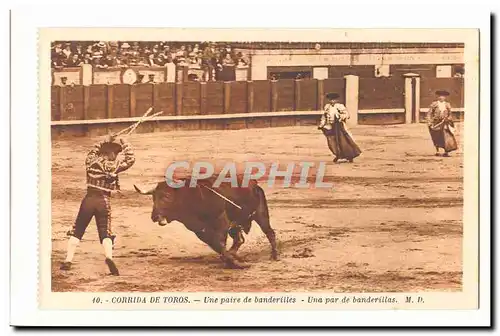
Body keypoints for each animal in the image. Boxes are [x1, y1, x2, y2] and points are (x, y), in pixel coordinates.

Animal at [135, 176, 280, 268]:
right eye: (153, 197)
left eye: (167, 196)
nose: (154, 216)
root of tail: (254, 184)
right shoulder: (199, 230)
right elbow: (215, 245)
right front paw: (232, 260)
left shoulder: (221, 222)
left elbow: (219, 242)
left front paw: (233, 262)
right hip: (236, 225)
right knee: (239, 239)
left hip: (261, 215)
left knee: (269, 233)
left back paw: (274, 256)